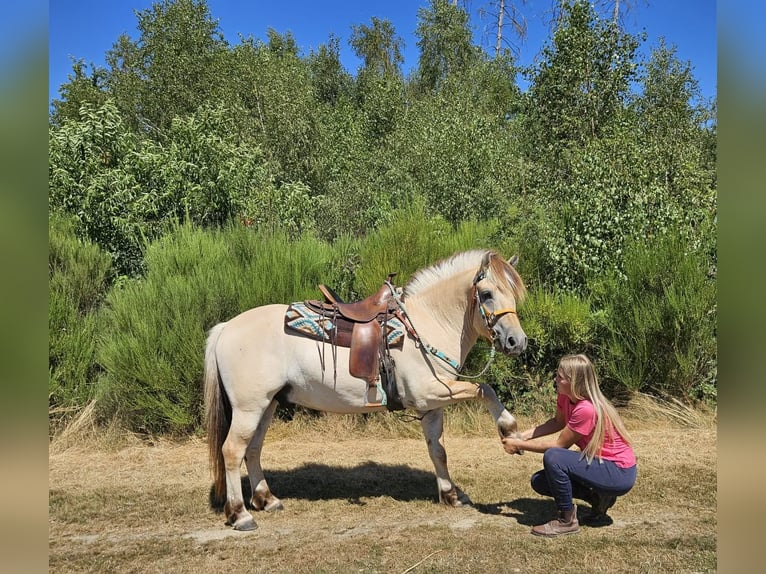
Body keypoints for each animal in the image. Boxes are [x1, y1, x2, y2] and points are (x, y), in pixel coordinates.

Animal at [204, 249, 527, 531]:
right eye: (487, 294)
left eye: (513, 293)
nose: (517, 342)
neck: (427, 325)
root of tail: (226, 328)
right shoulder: (430, 392)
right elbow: (484, 389)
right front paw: (508, 428)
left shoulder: (432, 404)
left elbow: (438, 450)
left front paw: (450, 495)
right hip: (249, 408)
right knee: (232, 451)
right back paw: (240, 514)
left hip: (267, 404)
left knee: (253, 449)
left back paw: (266, 500)